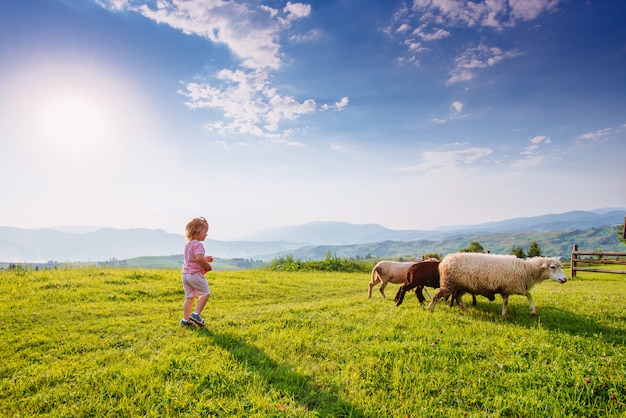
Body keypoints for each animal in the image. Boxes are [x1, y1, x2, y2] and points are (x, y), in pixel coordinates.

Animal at [424, 253, 564, 316]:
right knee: (437, 295)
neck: (526, 269)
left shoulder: (513, 288)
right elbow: (525, 296)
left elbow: (525, 296)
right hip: (449, 283)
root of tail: (444, 261)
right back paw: (430, 308)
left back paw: (466, 310)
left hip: (460, 285)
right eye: (553, 267)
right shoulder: (512, 287)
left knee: (458, 298)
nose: (565, 279)